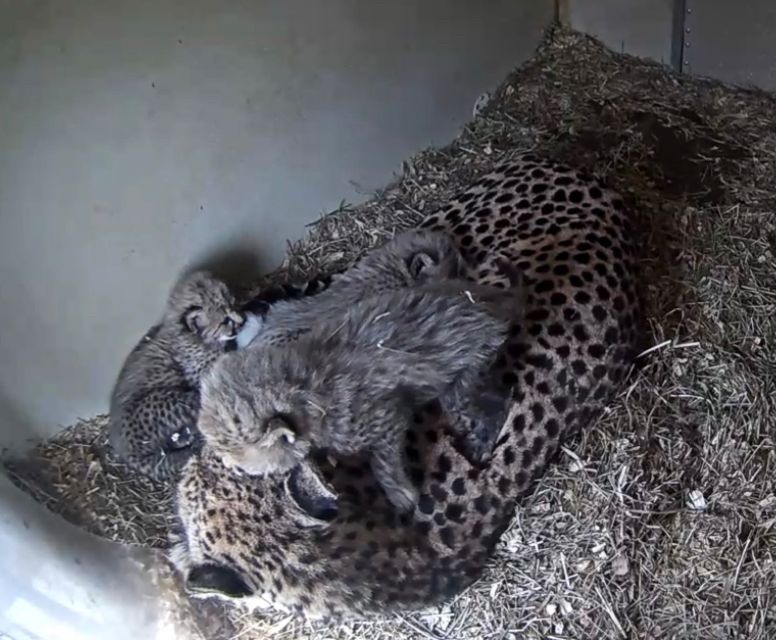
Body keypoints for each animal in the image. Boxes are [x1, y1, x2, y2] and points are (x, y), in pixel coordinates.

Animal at [196, 272, 523, 515]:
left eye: (236, 454)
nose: (228, 465)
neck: (303, 386)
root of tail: (486, 300)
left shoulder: (386, 417)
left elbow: (382, 461)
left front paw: (401, 495)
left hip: (466, 377)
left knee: (494, 404)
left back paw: (481, 443)